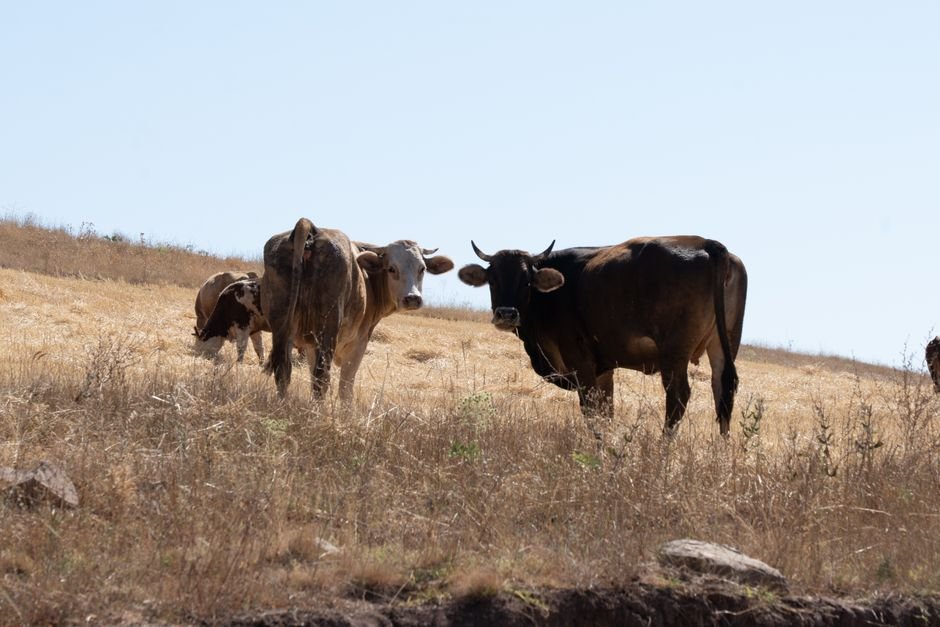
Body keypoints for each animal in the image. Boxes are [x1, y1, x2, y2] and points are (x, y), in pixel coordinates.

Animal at [262, 217, 454, 400]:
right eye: (391, 268)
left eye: (422, 269)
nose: (412, 298)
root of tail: (310, 227)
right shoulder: (359, 342)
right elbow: (345, 389)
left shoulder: (310, 345)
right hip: (328, 329)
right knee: (321, 377)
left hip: (282, 326)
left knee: (284, 371)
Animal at [458, 237, 747, 438]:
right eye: (492, 279)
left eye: (526, 281)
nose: (506, 314)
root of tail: (706, 244)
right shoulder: (604, 371)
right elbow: (607, 413)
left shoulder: (582, 364)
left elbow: (592, 414)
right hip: (725, 345)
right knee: (723, 393)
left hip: (674, 354)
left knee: (677, 398)